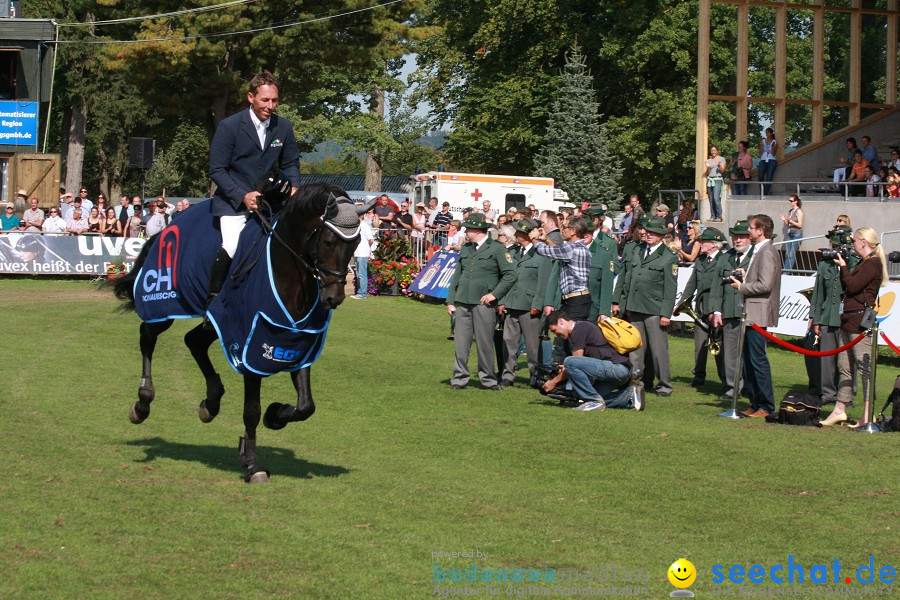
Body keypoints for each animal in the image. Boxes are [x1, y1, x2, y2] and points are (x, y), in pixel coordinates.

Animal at [113, 183, 370, 482]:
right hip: (166, 302)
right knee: (148, 336)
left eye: (355, 243)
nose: (333, 297)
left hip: (216, 320)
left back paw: (211, 402)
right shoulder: (250, 345)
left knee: (193, 341)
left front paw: (276, 415)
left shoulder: (298, 340)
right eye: (329, 241)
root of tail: (169, 225)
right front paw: (252, 465)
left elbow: (306, 405)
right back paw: (143, 403)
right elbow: (251, 411)